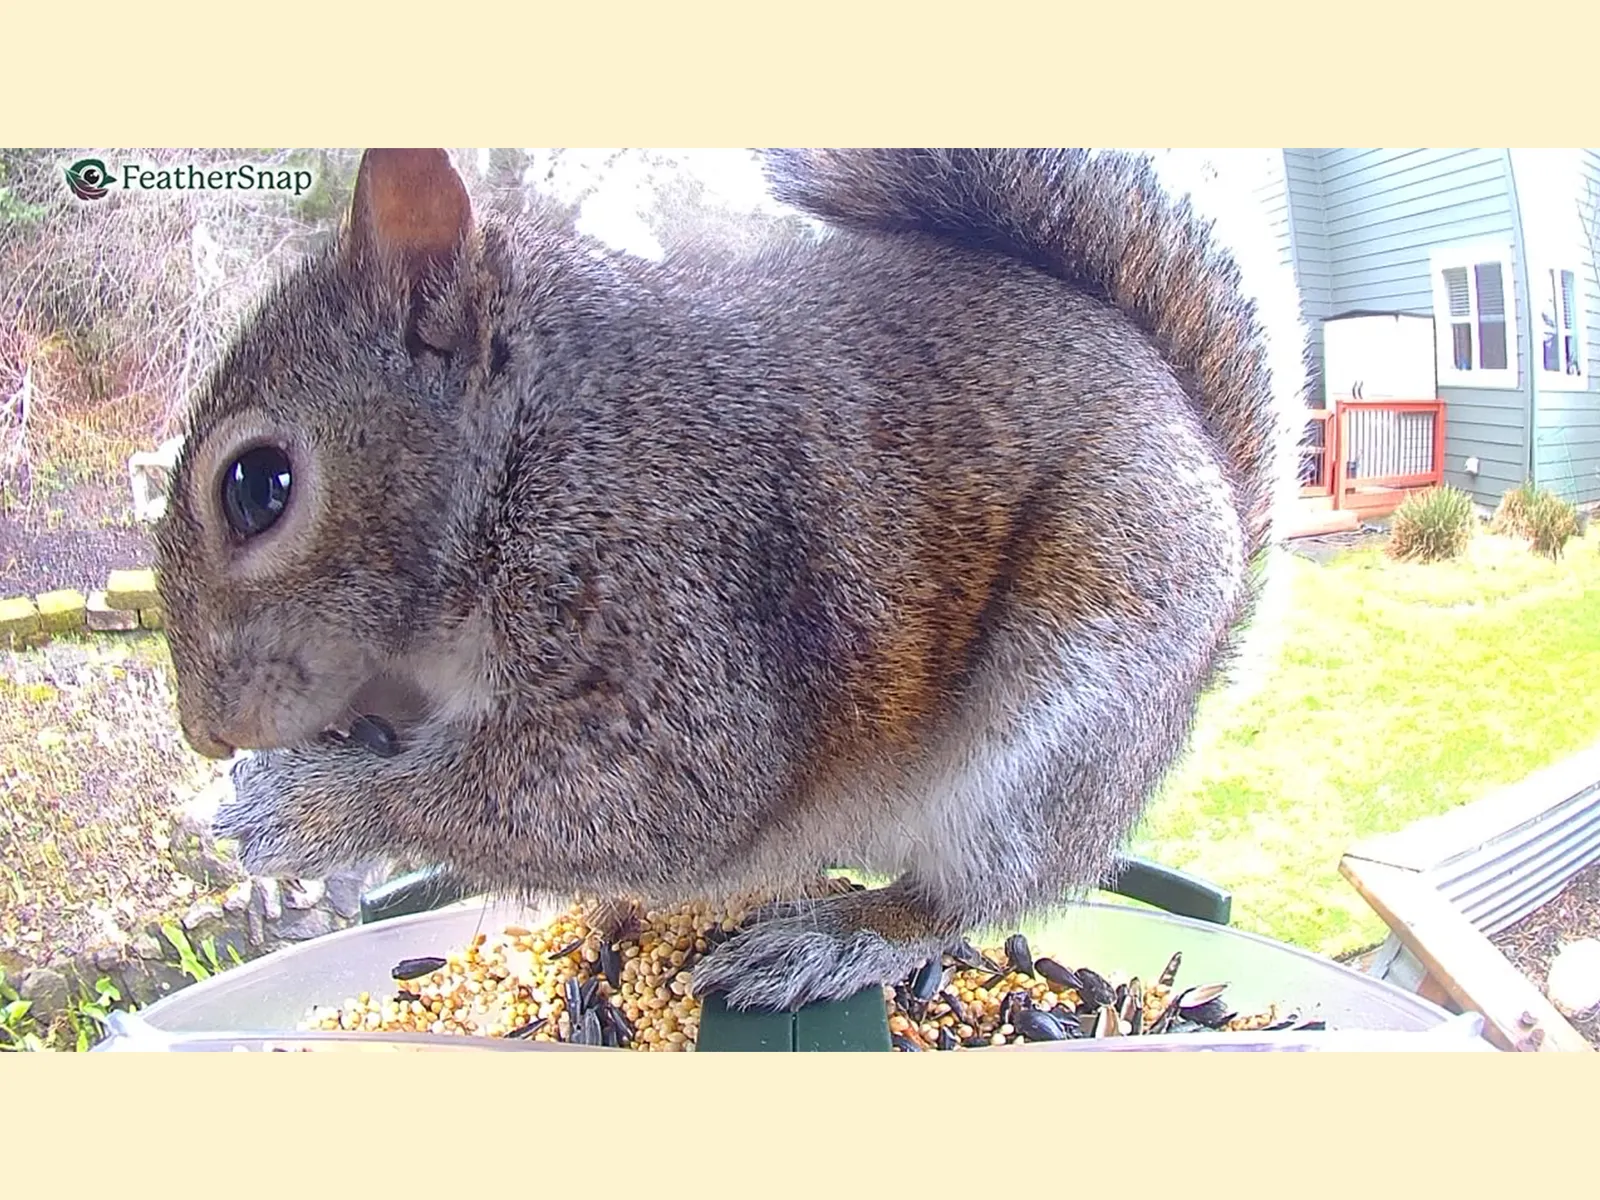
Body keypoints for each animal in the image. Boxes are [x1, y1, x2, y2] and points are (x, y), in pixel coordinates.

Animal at [154, 147, 1304, 1013]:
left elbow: (658, 800)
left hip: (1059, 722)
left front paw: (298, 810)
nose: (205, 732)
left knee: (966, 898)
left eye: (258, 486)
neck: (535, 435)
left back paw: (841, 936)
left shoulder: (680, 588)